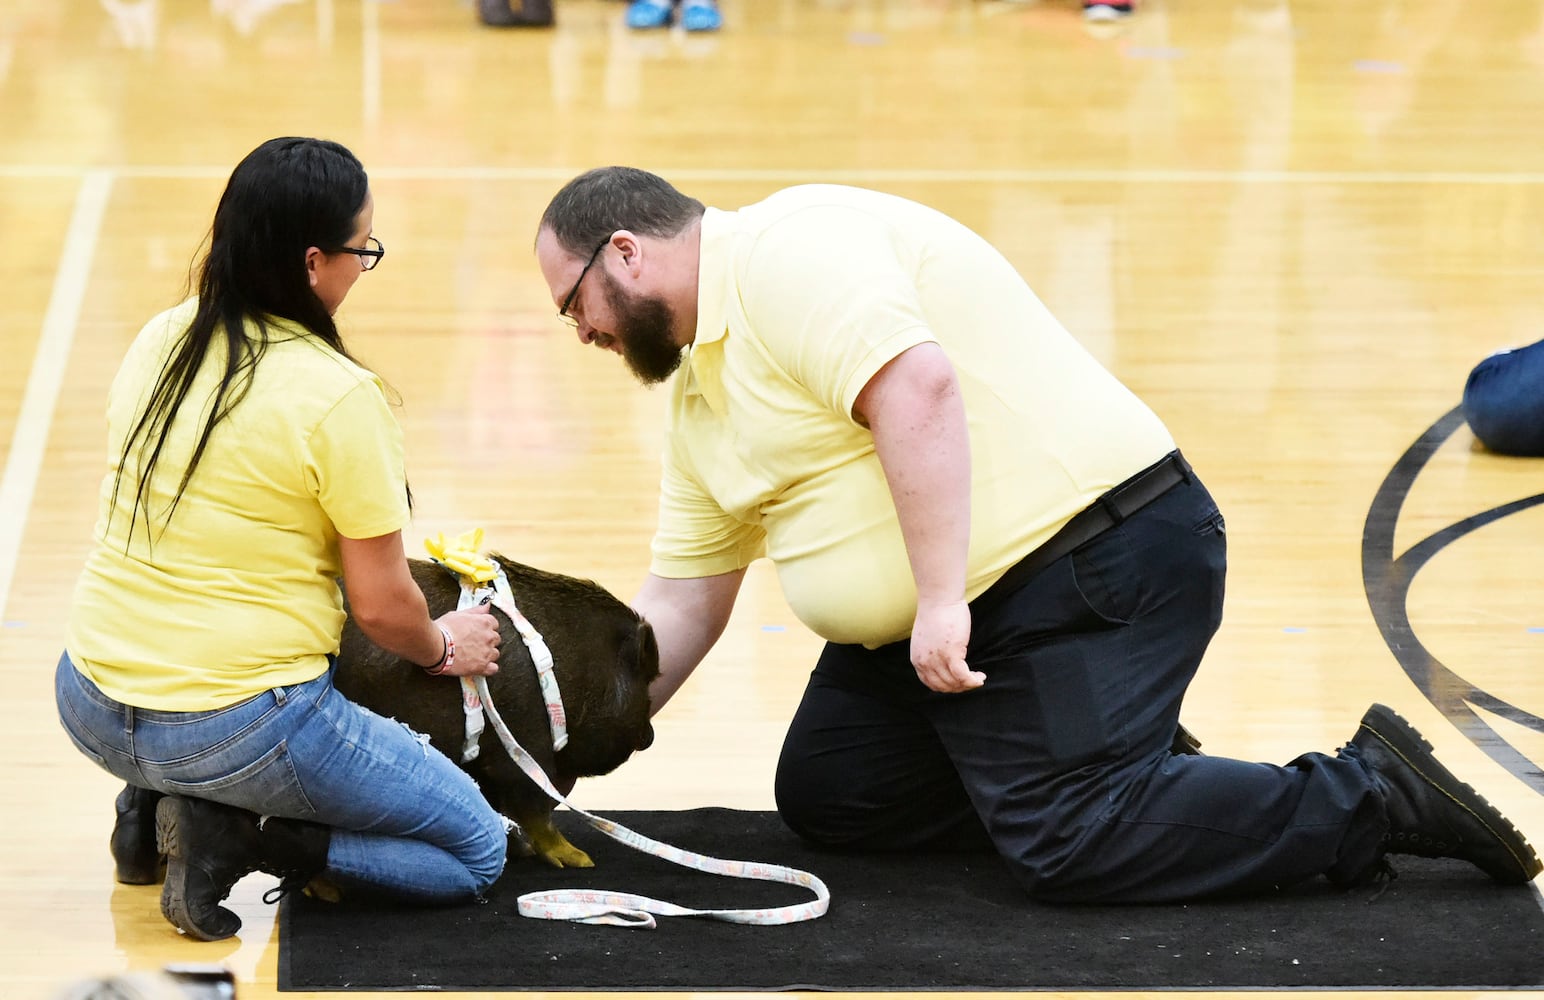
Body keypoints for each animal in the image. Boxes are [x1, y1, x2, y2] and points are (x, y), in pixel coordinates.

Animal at [335, 549, 654, 870]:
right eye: (647, 679)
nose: (650, 736)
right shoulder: (523, 750)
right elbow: (534, 810)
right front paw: (580, 860)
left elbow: (497, 806)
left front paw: (523, 852)